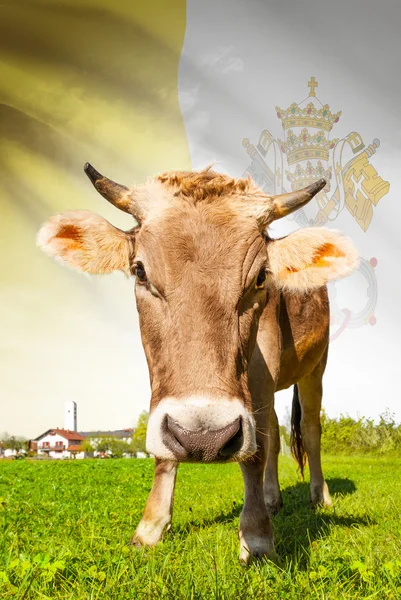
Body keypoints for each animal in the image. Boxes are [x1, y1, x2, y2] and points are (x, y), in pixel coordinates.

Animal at [37, 164, 356, 564]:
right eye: (140, 271)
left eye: (261, 277)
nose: (203, 438)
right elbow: (166, 449)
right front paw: (150, 528)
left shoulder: (263, 363)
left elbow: (255, 452)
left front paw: (257, 536)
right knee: (272, 429)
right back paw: (272, 498)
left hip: (316, 367)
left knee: (310, 431)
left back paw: (319, 496)